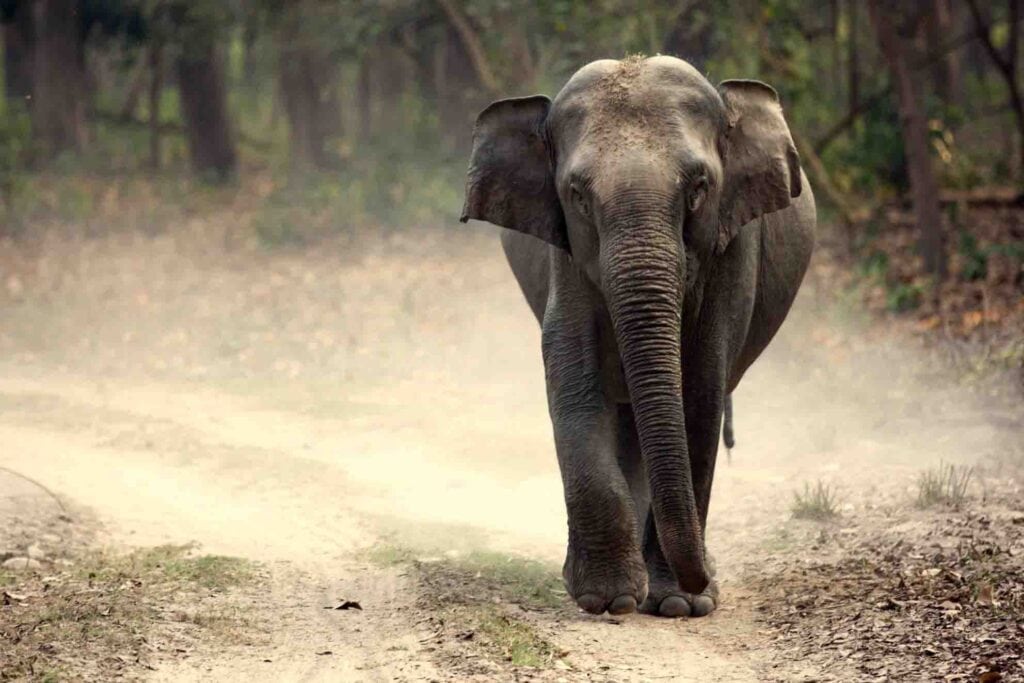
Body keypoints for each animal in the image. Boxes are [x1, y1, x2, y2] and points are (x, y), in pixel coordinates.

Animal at [460, 56, 815, 618]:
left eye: (698, 188)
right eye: (577, 196)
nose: (705, 579)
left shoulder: (732, 248)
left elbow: (700, 389)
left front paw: (678, 605)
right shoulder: (566, 255)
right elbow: (574, 378)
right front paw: (609, 600)